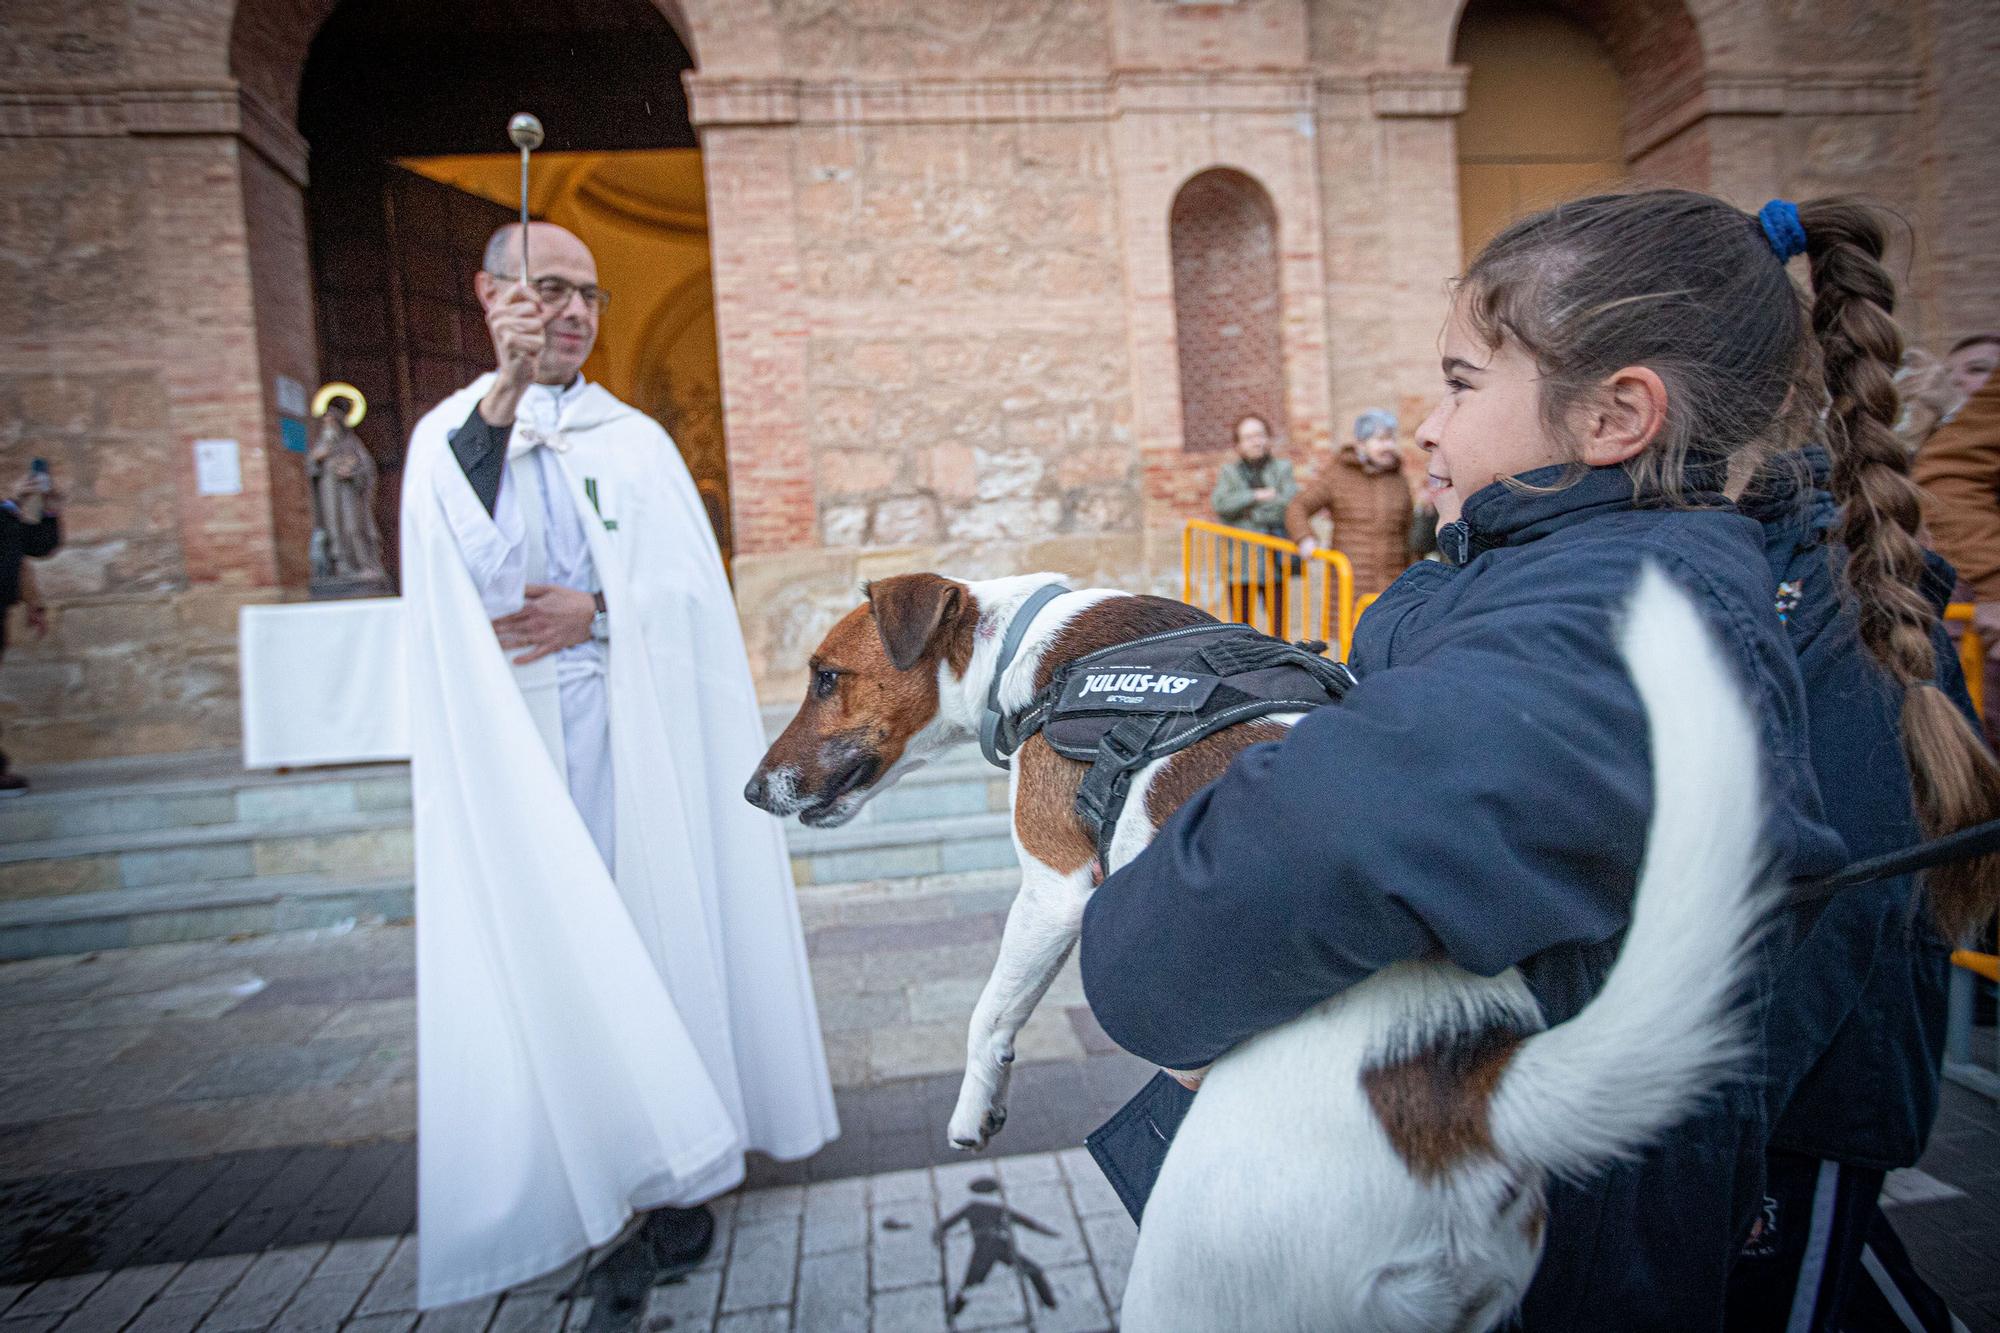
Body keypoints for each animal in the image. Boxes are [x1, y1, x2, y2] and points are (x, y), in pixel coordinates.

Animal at [748, 564, 1768, 1320]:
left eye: (825, 675)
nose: (755, 791)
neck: (1031, 645)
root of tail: (1463, 1090)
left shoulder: (1054, 887)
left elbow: (989, 1011)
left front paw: (973, 1108)